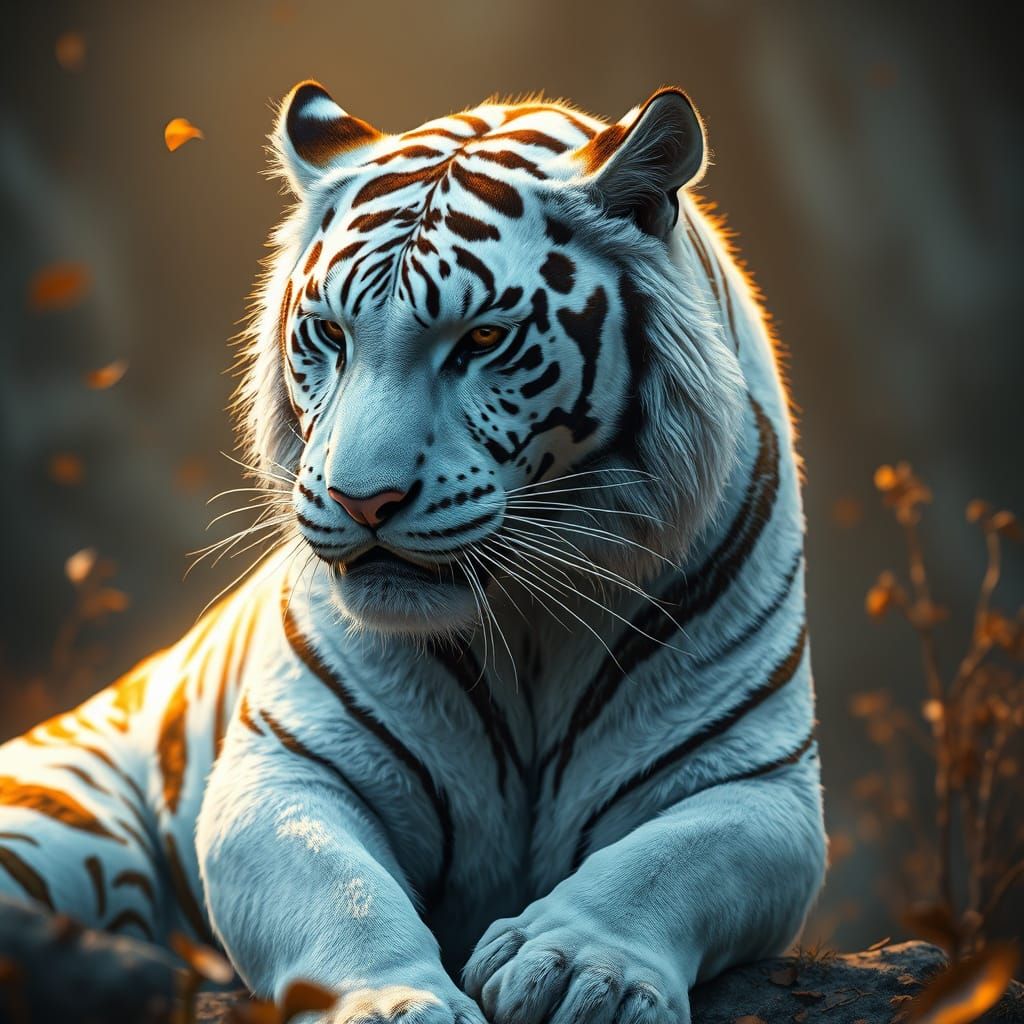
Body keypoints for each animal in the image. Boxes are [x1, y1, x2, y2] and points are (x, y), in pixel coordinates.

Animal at [0, 81, 825, 1024]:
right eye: (328, 333)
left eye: (481, 340)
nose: (363, 500)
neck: (529, 627)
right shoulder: (293, 764)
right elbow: (342, 896)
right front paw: (396, 1001)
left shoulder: (758, 782)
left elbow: (660, 865)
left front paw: (578, 967)